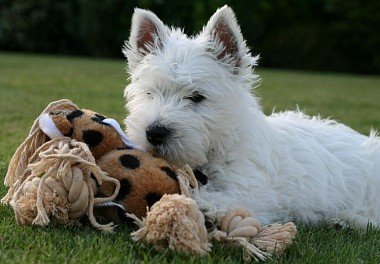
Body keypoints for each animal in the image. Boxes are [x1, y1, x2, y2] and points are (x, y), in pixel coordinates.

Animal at [123, 5, 378, 228]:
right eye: (150, 93)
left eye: (197, 97)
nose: (154, 132)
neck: (219, 146)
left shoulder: (256, 192)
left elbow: (228, 200)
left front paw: (200, 205)